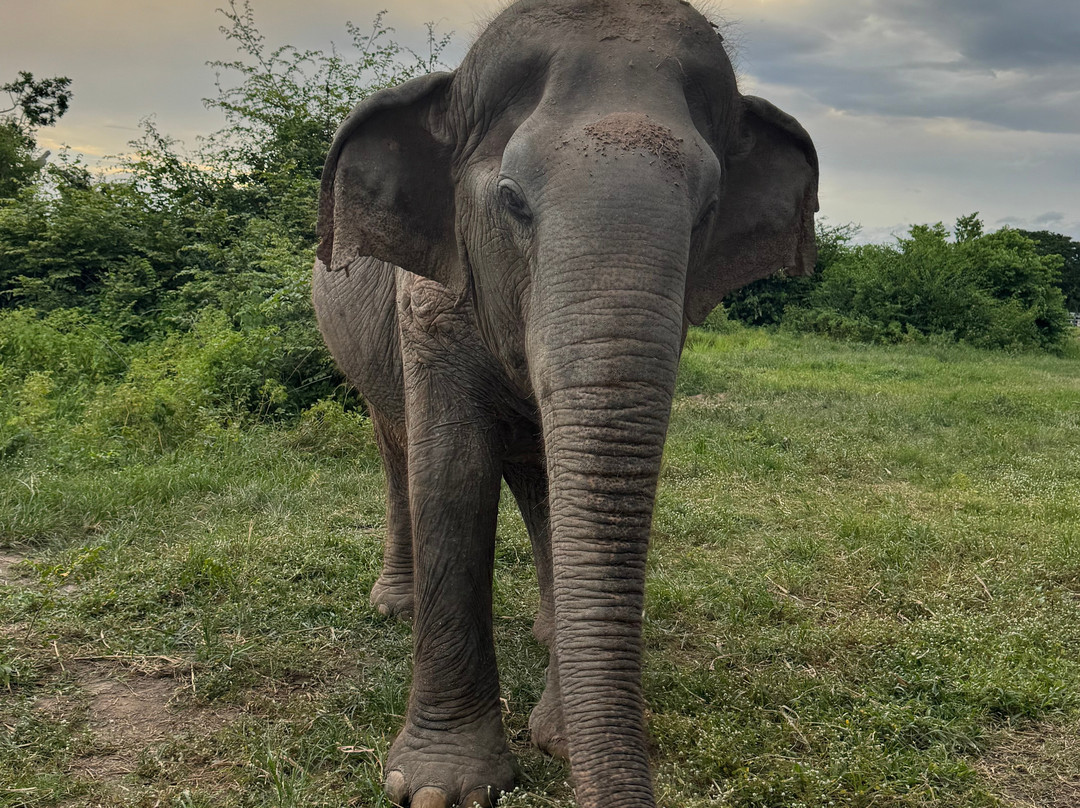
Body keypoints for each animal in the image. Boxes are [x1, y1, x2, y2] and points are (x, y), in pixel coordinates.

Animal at [312, 0, 818, 805]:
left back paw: (549, 632)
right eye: (512, 201)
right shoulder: (430, 304)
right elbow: (451, 475)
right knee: (397, 449)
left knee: (537, 478)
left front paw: (556, 740)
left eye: (707, 211)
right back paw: (395, 603)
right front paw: (438, 789)